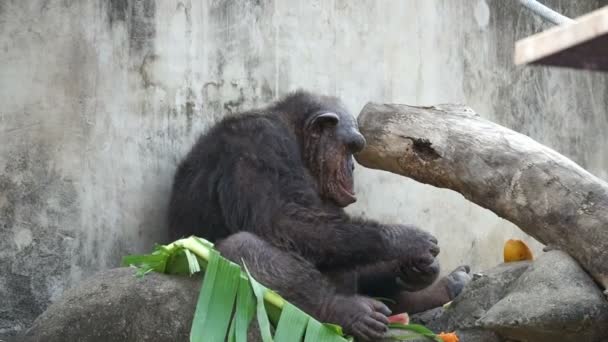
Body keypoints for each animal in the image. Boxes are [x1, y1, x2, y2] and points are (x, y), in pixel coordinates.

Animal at [167, 90, 470, 340]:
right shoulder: (259, 143)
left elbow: (334, 235)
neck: (297, 141)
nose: (352, 167)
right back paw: (344, 310)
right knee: (240, 247)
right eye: (351, 147)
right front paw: (406, 241)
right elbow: (283, 220)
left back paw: (440, 289)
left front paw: (420, 266)